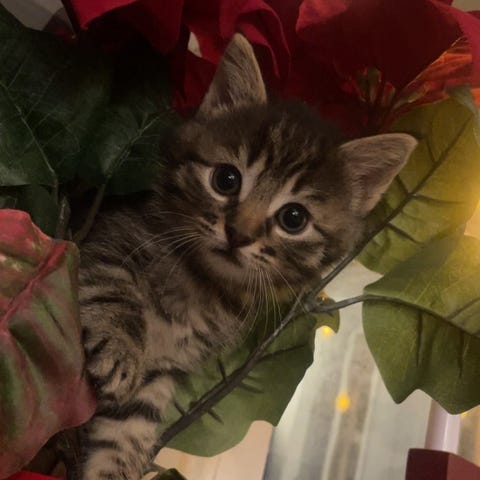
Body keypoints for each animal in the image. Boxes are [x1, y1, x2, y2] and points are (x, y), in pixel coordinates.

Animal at [76, 33, 417, 479]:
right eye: (226, 179)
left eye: (294, 218)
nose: (238, 234)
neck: (202, 286)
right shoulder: (108, 233)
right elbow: (111, 280)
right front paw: (120, 345)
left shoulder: (163, 372)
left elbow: (128, 431)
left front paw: (115, 467)